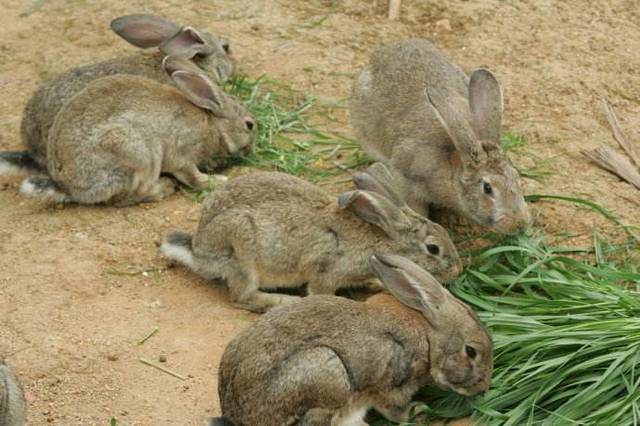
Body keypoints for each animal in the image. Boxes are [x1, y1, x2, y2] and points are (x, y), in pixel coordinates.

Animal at [16, 59, 255, 206]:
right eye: (249, 125)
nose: (251, 149)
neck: (212, 124)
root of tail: (69, 187)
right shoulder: (182, 154)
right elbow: (192, 176)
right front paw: (217, 181)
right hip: (135, 152)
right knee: (127, 196)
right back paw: (164, 188)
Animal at [159, 170, 460, 312]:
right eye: (433, 248)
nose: (457, 270)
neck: (379, 240)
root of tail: (198, 251)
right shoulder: (326, 273)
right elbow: (320, 291)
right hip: (241, 252)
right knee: (242, 297)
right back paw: (282, 301)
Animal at [212, 255, 492, 424]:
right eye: (471, 351)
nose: (483, 388)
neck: (430, 336)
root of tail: (237, 413)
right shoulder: (391, 385)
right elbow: (395, 410)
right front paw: (419, 412)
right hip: (326, 370)